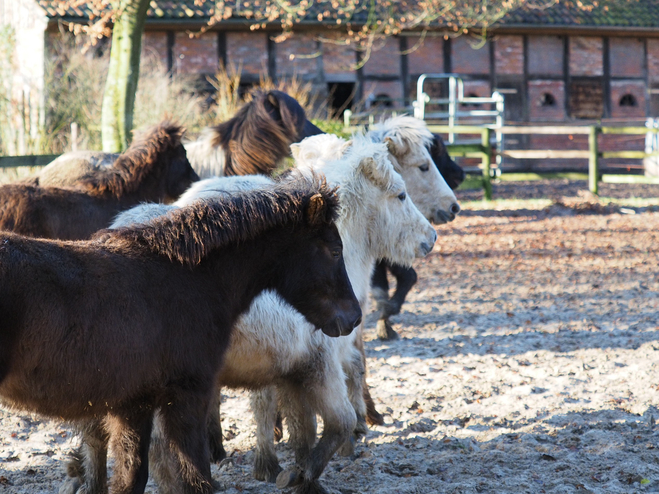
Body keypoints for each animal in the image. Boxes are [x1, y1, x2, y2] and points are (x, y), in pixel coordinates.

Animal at [0, 178, 360, 494]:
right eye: (334, 250)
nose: (353, 317)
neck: (188, 278)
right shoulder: (187, 398)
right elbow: (195, 479)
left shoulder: (133, 406)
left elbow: (132, 478)